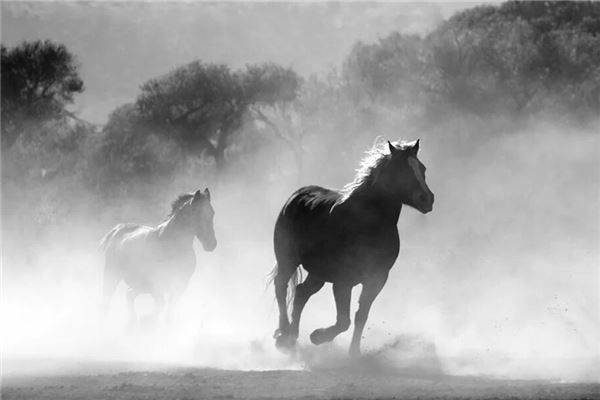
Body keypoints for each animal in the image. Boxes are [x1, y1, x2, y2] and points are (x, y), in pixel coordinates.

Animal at [99, 188, 217, 324]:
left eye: (212, 213)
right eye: (196, 213)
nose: (211, 244)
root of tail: (118, 229)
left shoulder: (180, 285)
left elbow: (169, 311)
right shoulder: (155, 284)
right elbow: (161, 305)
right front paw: (147, 319)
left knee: (129, 294)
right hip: (112, 276)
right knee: (106, 301)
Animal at [270, 140, 432, 356]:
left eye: (422, 168)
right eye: (401, 170)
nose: (427, 199)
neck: (367, 224)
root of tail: (296, 196)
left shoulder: (377, 279)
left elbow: (360, 316)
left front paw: (353, 353)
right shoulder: (343, 281)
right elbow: (343, 321)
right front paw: (318, 336)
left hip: (318, 273)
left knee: (301, 292)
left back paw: (292, 336)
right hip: (287, 259)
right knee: (281, 286)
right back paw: (284, 335)